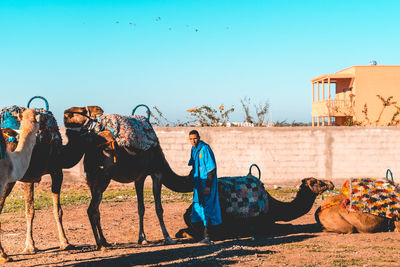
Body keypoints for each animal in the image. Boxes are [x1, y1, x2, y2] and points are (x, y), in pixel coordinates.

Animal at [63, 107, 192, 251]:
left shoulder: (139, 178)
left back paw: (105, 241)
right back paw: (100, 244)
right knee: (91, 209)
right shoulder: (157, 173)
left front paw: (142, 238)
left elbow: (141, 208)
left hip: (92, 179)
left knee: (96, 209)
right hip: (104, 177)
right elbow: (159, 208)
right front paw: (168, 238)